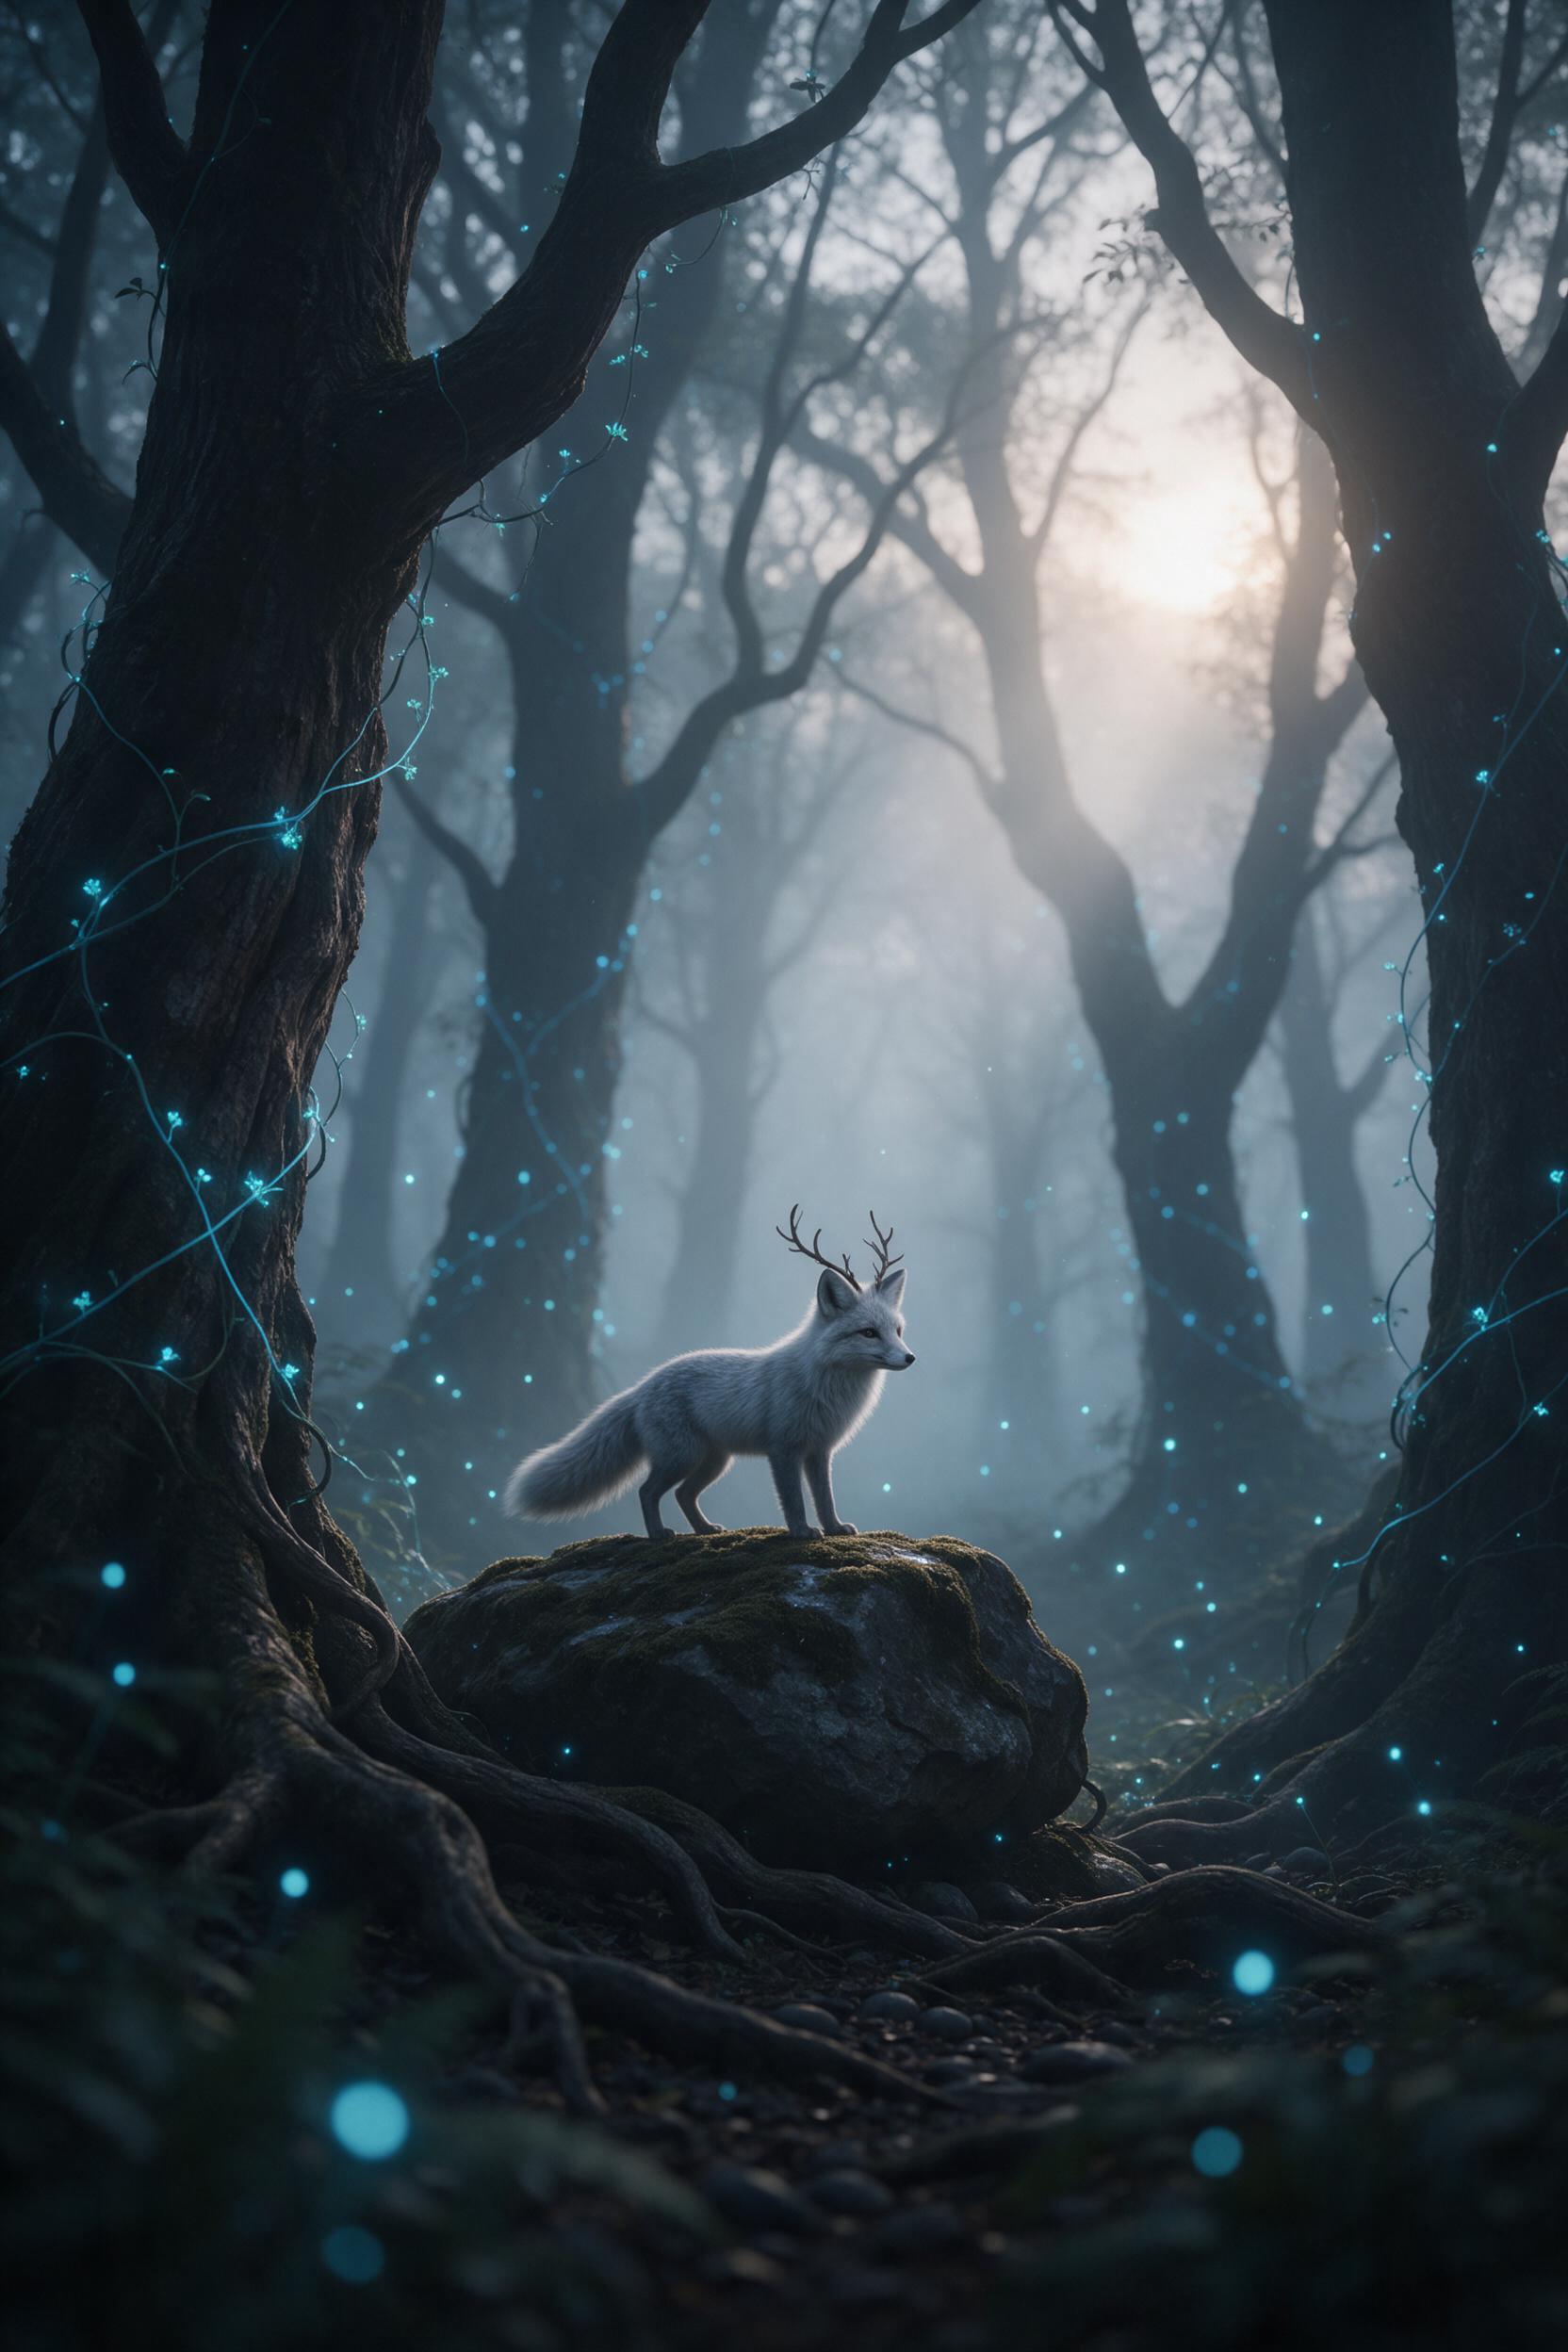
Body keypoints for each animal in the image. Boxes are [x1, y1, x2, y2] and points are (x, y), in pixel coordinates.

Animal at [505, 1208, 915, 1541]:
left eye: (897, 1330)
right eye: (868, 1332)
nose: (910, 1358)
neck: (826, 1384)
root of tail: (641, 1386)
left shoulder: (819, 1451)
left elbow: (824, 1498)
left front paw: (834, 1528)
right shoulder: (783, 1449)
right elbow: (794, 1500)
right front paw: (801, 1532)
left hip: (714, 1461)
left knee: (683, 1494)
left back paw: (704, 1530)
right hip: (682, 1456)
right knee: (648, 1491)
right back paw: (659, 1535)